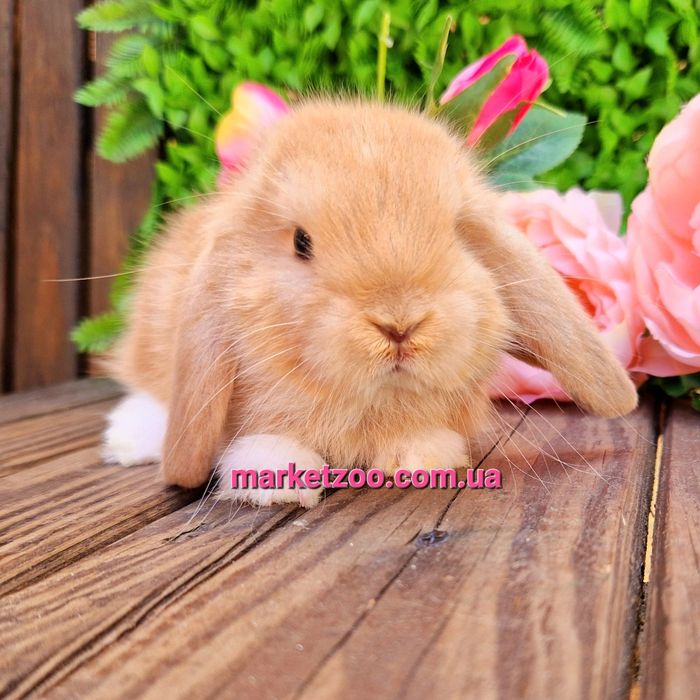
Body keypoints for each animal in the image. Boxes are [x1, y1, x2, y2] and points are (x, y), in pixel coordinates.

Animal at [103, 99, 638, 507]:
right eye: (301, 242)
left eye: (457, 232)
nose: (400, 325)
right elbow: (271, 440)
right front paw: (281, 481)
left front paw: (422, 459)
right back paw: (132, 439)